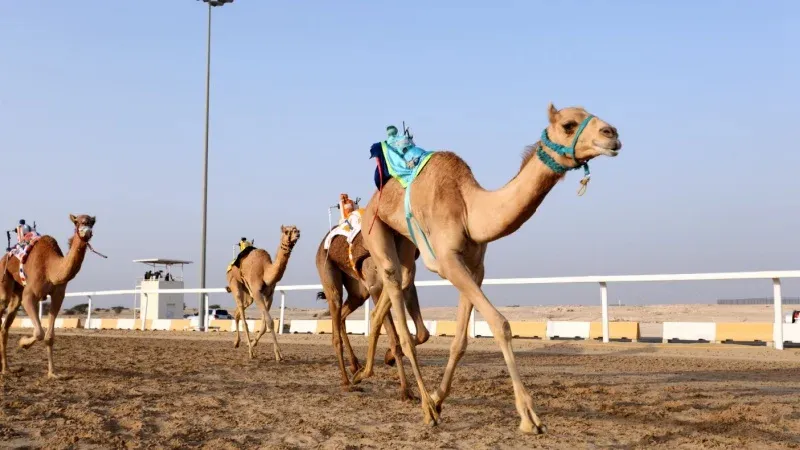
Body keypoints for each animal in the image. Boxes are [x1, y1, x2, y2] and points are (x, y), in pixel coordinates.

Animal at [0, 214, 98, 378]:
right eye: (77, 222)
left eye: (92, 222)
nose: (87, 231)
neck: (51, 268)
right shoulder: (29, 295)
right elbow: (39, 332)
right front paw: (23, 343)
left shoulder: (58, 295)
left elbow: (49, 336)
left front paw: (53, 373)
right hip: (4, 281)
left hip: (17, 293)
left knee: (5, 327)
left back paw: (7, 369)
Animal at [225, 225, 300, 361]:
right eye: (287, 231)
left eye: (296, 229)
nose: (298, 233)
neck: (266, 271)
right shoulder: (257, 292)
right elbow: (270, 322)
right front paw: (279, 354)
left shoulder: (269, 295)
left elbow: (265, 324)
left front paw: (256, 344)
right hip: (234, 283)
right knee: (242, 315)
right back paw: (251, 352)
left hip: (248, 294)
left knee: (237, 312)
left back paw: (237, 342)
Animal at [314, 228, 429, 397]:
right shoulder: (376, 287)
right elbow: (393, 337)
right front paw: (405, 390)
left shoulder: (406, 284)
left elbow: (422, 333)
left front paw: (389, 359)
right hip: (329, 273)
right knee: (336, 324)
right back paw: (347, 382)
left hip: (358, 292)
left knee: (342, 315)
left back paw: (355, 366)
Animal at [353, 104, 622, 433]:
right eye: (569, 124)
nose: (612, 134)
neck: (469, 209)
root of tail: (373, 198)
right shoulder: (448, 261)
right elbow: (500, 324)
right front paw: (529, 417)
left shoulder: (475, 267)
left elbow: (460, 341)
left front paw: (439, 398)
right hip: (375, 228)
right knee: (397, 298)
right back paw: (423, 406)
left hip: (404, 242)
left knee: (397, 287)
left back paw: (366, 373)